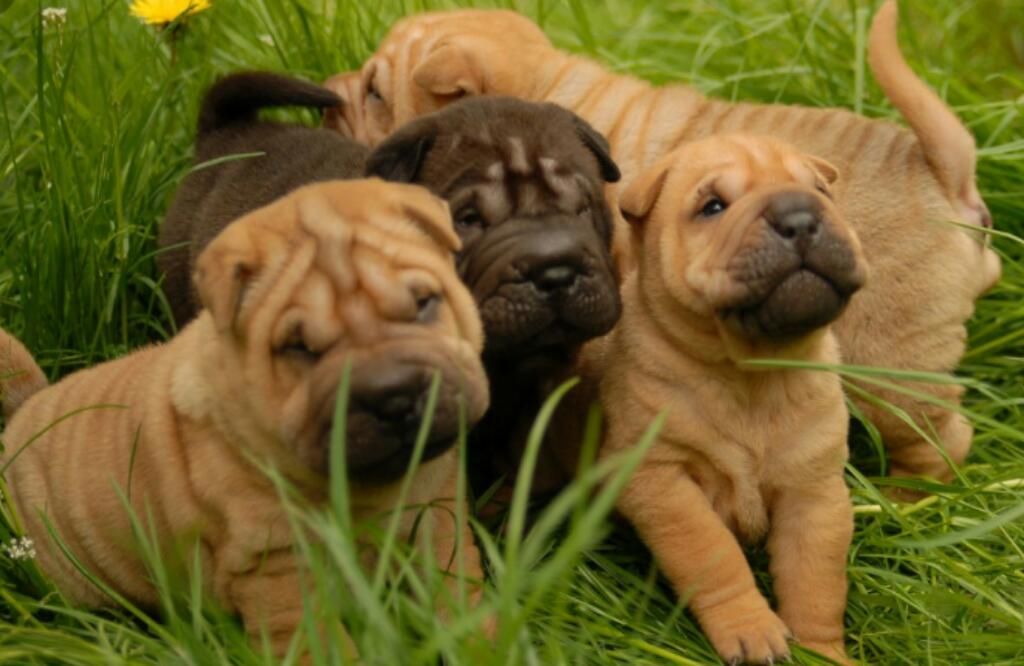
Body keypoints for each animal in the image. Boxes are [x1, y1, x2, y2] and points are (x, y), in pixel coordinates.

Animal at [1, 179, 487, 655]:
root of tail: (22, 412)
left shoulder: (438, 518)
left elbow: (459, 597)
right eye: (299, 348)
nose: (394, 396)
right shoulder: (278, 567)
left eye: (424, 303)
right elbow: (322, 645)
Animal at [565, 132, 868, 659]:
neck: (752, 374)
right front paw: (752, 629)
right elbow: (712, 553)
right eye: (712, 207)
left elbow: (816, 579)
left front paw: (822, 652)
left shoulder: (815, 489)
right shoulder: (659, 477)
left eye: (821, 193)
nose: (799, 215)